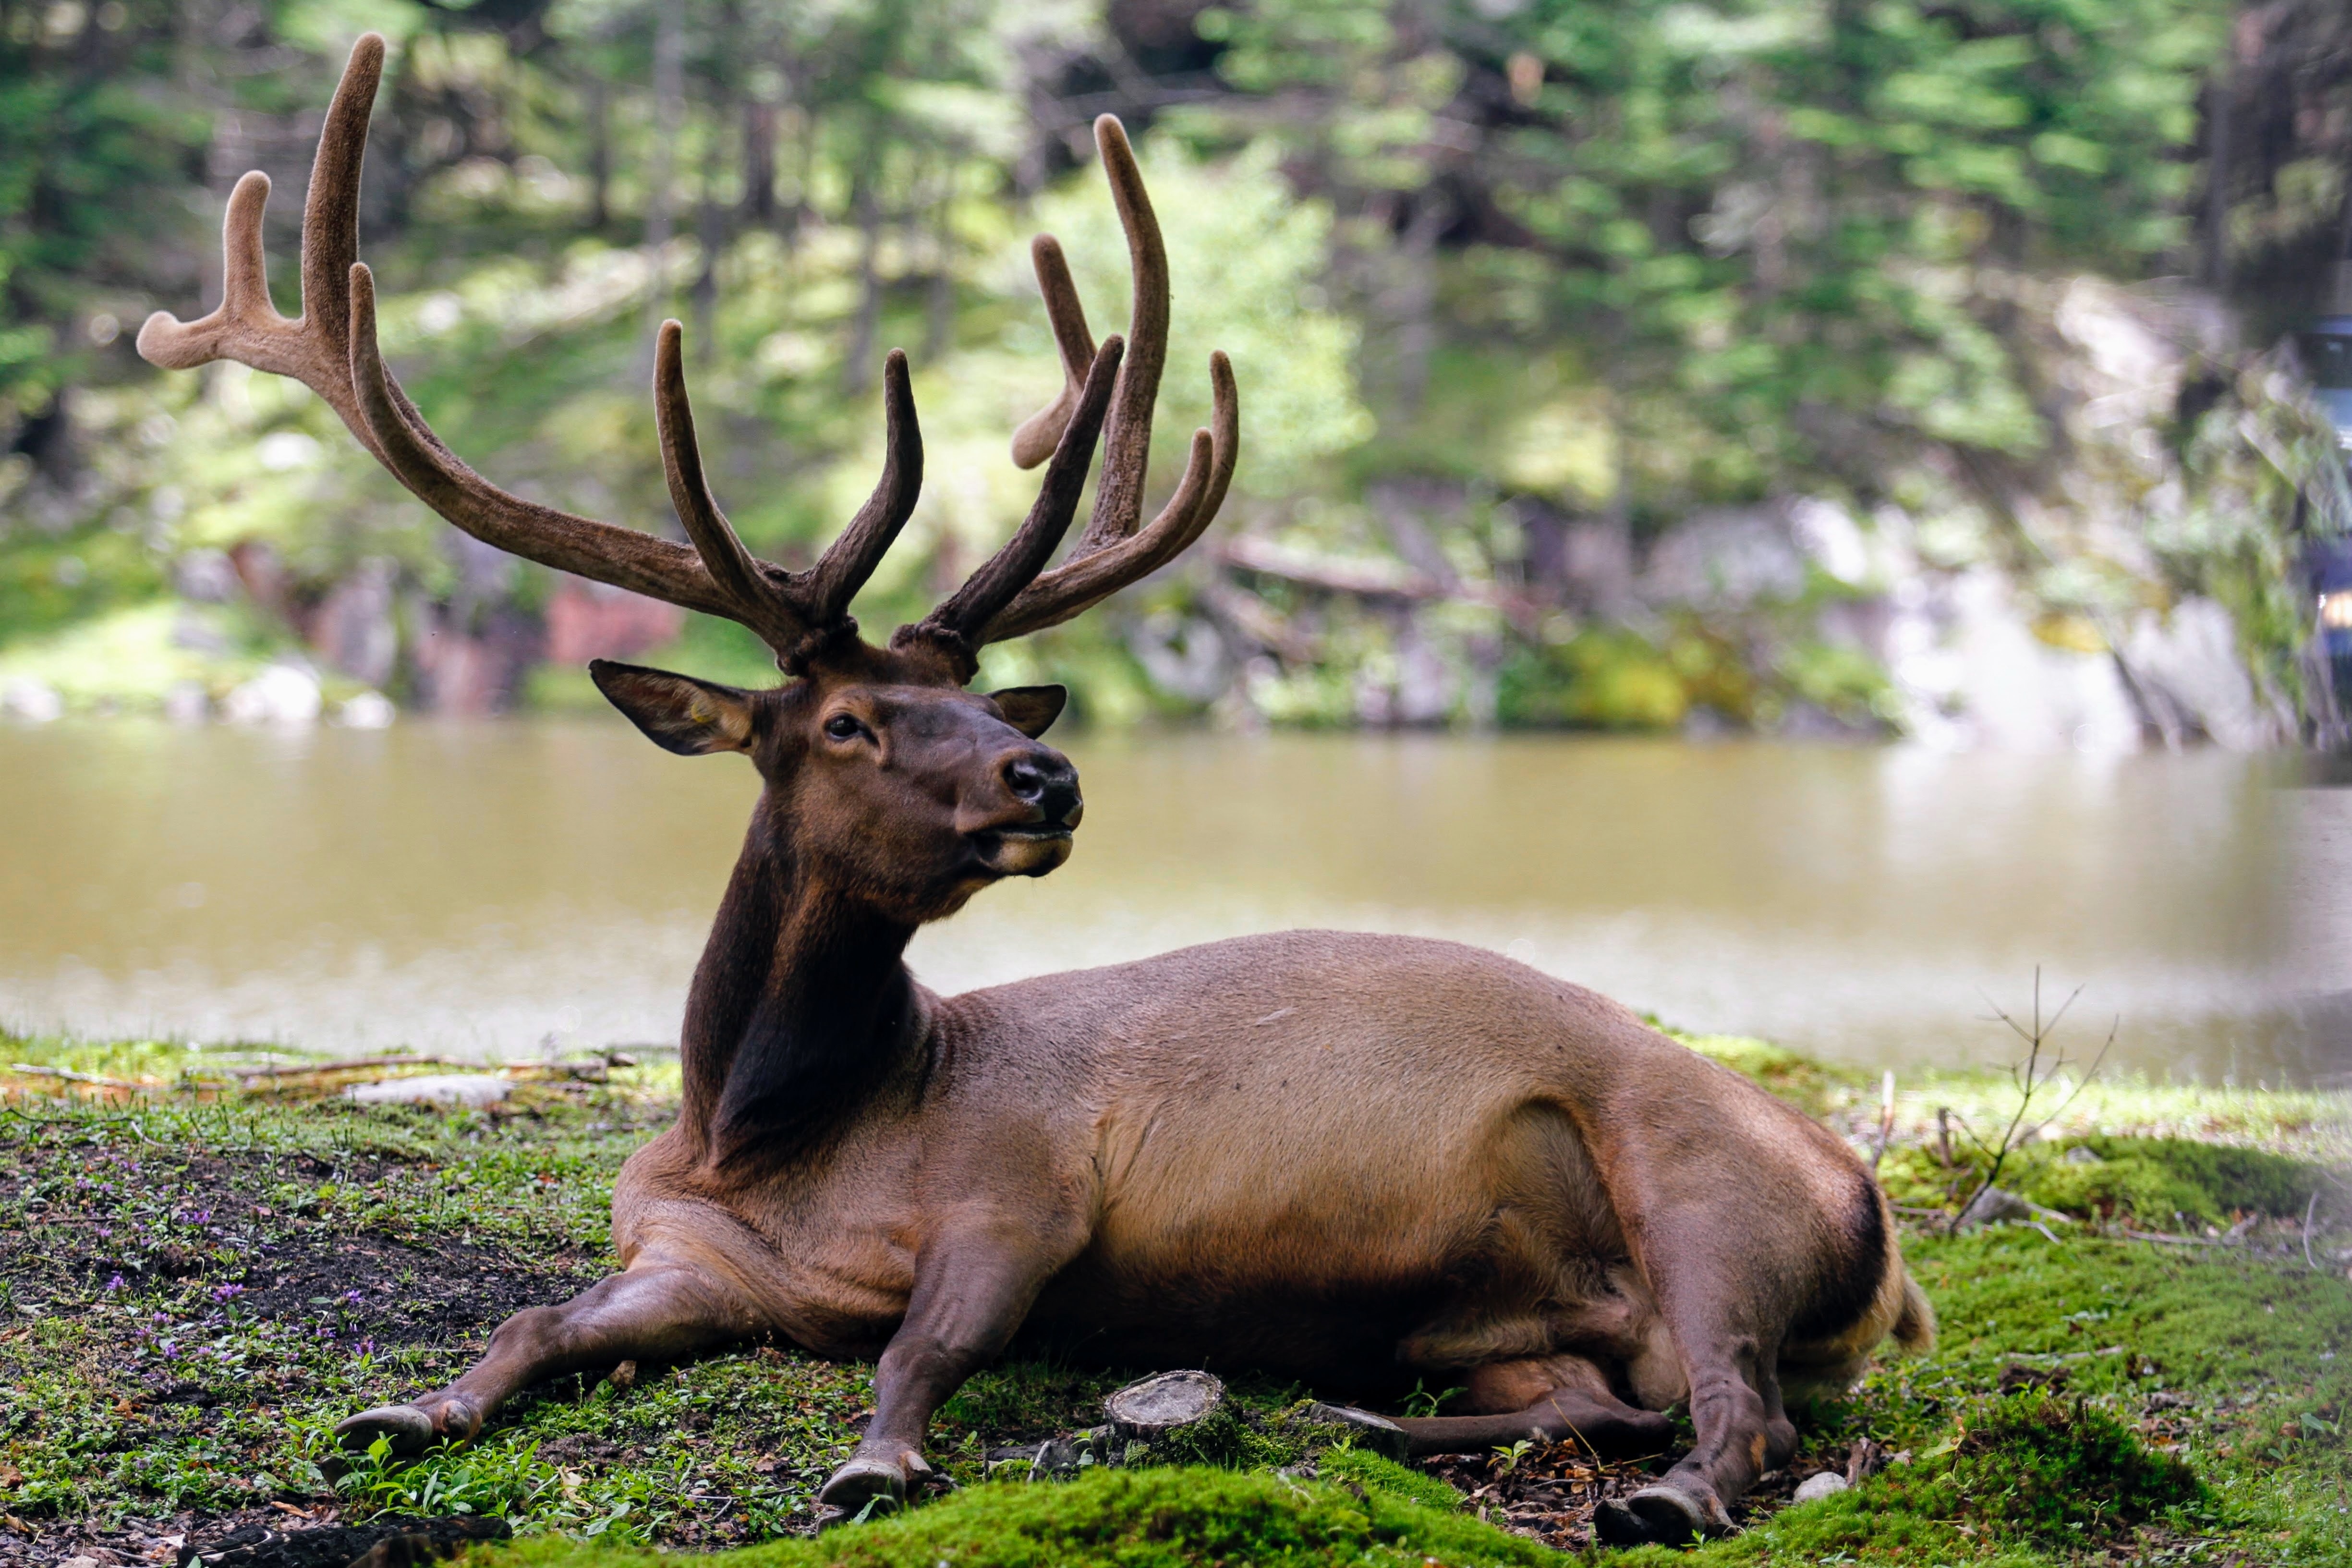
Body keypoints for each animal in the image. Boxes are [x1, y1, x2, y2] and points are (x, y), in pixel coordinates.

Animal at [140, 34, 1933, 1547]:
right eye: (848, 719)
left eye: (964, 699)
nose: (1045, 767)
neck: (770, 1137)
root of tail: (1877, 1223)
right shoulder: (679, 1256)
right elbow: (525, 1321)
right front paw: (404, 1405)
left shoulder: (1022, 1189)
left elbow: (922, 1351)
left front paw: (877, 1459)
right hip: (1510, 1319)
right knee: (1584, 1392)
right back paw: (1371, 1413)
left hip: (1706, 1195)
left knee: (1744, 1409)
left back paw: (1662, 1492)